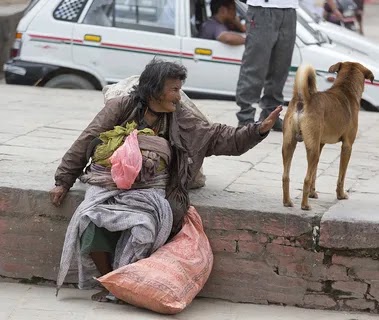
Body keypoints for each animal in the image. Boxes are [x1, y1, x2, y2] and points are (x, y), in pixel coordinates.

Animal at [282, 60, 374, 210]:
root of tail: (303, 100)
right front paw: (340, 195)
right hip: (312, 149)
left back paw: (287, 202)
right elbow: (341, 175)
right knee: (306, 179)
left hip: (289, 144)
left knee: (286, 176)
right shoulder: (347, 146)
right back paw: (305, 205)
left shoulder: (320, 144)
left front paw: (313, 193)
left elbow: (315, 172)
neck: (345, 89)